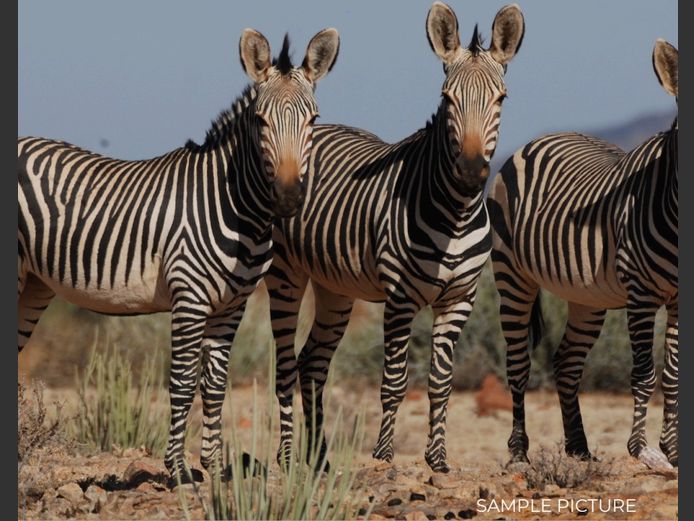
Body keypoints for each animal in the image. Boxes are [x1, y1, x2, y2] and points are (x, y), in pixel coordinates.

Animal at [18, 28, 340, 482]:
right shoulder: (189, 298)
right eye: (260, 121)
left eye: (313, 120)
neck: (237, 208)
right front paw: (177, 469)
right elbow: (184, 381)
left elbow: (216, 383)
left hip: (33, 283)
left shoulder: (232, 306)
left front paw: (215, 466)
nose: (289, 197)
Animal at [267, 2, 524, 473]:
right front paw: (384, 455)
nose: (471, 171)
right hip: (285, 275)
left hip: (335, 288)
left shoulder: (460, 298)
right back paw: (289, 457)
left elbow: (441, 381)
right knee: (287, 365)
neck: (456, 213)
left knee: (312, 363)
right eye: (447, 99)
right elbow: (395, 380)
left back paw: (321, 459)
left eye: (501, 98)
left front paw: (437, 458)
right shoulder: (401, 297)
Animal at [487, 39, 678, 466]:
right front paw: (642, 450)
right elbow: (645, 373)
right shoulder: (640, 292)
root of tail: (542, 138)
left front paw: (673, 450)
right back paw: (518, 451)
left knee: (567, 363)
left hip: (587, 297)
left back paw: (578, 447)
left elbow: (674, 373)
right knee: (518, 364)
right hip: (512, 276)